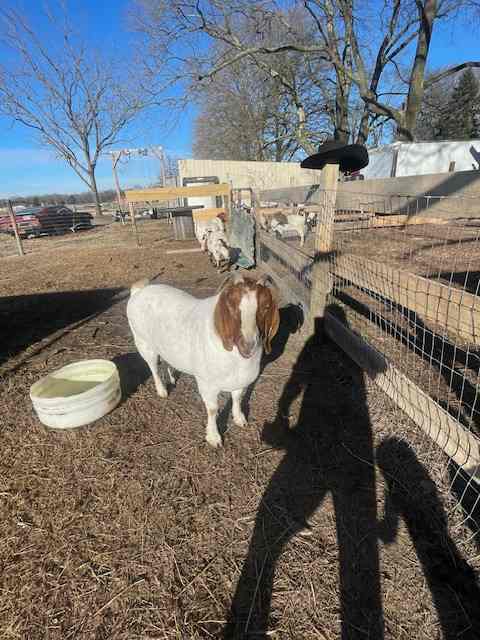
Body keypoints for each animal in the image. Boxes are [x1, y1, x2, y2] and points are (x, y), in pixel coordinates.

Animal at [127, 272, 280, 448]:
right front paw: (214, 437)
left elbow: (237, 397)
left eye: (266, 307)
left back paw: (172, 377)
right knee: (153, 367)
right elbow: (213, 409)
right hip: (143, 342)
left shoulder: (240, 380)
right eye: (231, 306)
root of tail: (138, 291)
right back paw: (162, 391)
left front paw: (240, 419)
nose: (248, 345)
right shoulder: (207, 384)